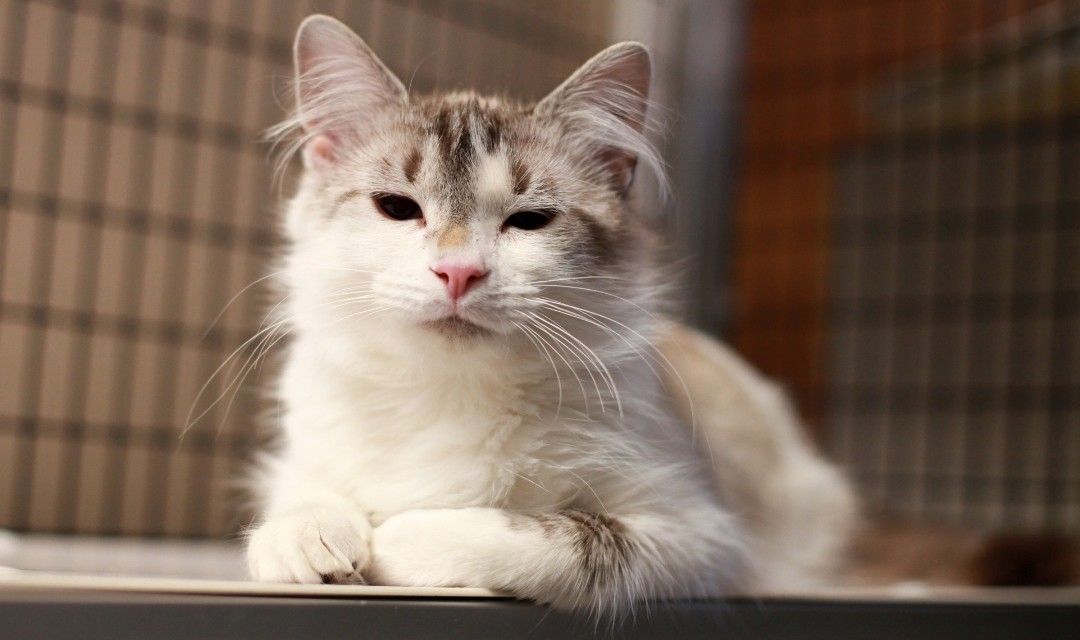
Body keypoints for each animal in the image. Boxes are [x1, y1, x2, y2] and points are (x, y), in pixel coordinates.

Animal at [247, 14, 859, 613]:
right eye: (397, 208)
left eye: (529, 220)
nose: (458, 273)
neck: (454, 389)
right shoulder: (302, 455)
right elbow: (304, 492)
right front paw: (307, 536)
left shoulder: (701, 536)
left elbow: (557, 536)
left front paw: (402, 538)